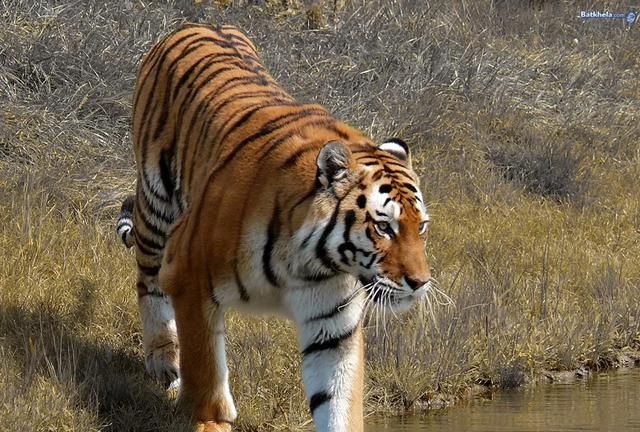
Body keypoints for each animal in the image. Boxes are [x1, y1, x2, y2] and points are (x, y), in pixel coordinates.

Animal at [117, 23, 432, 432]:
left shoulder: (332, 323)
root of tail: (199, 24)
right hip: (157, 206)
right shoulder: (188, 274)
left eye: (421, 227)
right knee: (148, 282)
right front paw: (209, 420)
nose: (420, 283)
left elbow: (338, 400)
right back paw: (163, 361)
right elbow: (206, 377)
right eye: (384, 227)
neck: (310, 261)